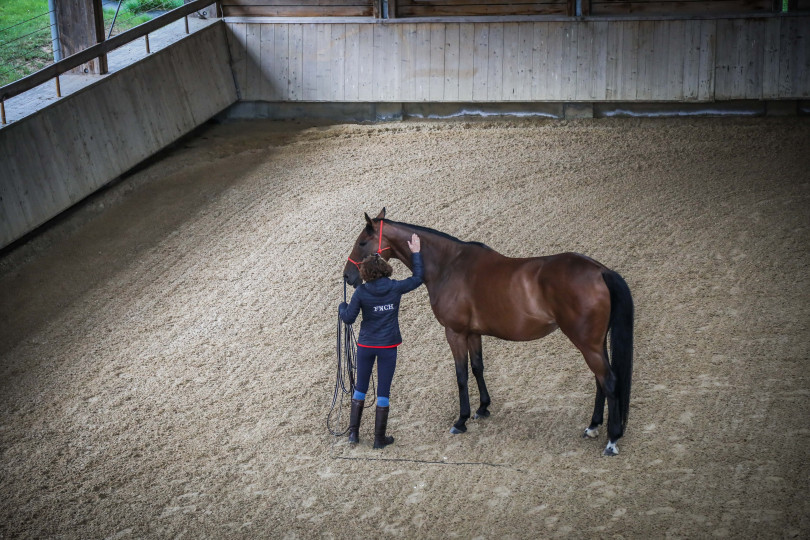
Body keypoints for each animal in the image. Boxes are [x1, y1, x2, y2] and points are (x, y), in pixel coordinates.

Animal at [340, 208, 632, 456]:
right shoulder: (473, 333)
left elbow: (461, 375)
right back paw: (593, 426)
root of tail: (600, 271)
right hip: (595, 343)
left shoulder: (455, 332)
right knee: (600, 380)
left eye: (362, 242)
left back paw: (612, 439)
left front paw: (461, 420)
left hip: (587, 343)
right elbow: (477, 367)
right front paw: (482, 408)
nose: (348, 276)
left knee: (609, 381)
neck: (449, 265)